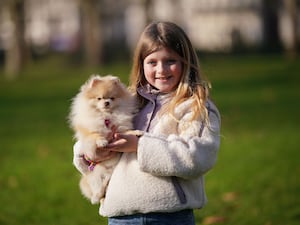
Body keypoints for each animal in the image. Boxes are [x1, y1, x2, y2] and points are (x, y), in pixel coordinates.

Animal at [68, 74, 137, 205]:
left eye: (112, 98)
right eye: (99, 98)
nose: (106, 102)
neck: (106, 116)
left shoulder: (120, 128)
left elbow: (126, 132)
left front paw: (137, 133)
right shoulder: (89, 132)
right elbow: (95, 136)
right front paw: (102, 141)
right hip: (95, 175)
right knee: (98, 189)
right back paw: (96, 198)